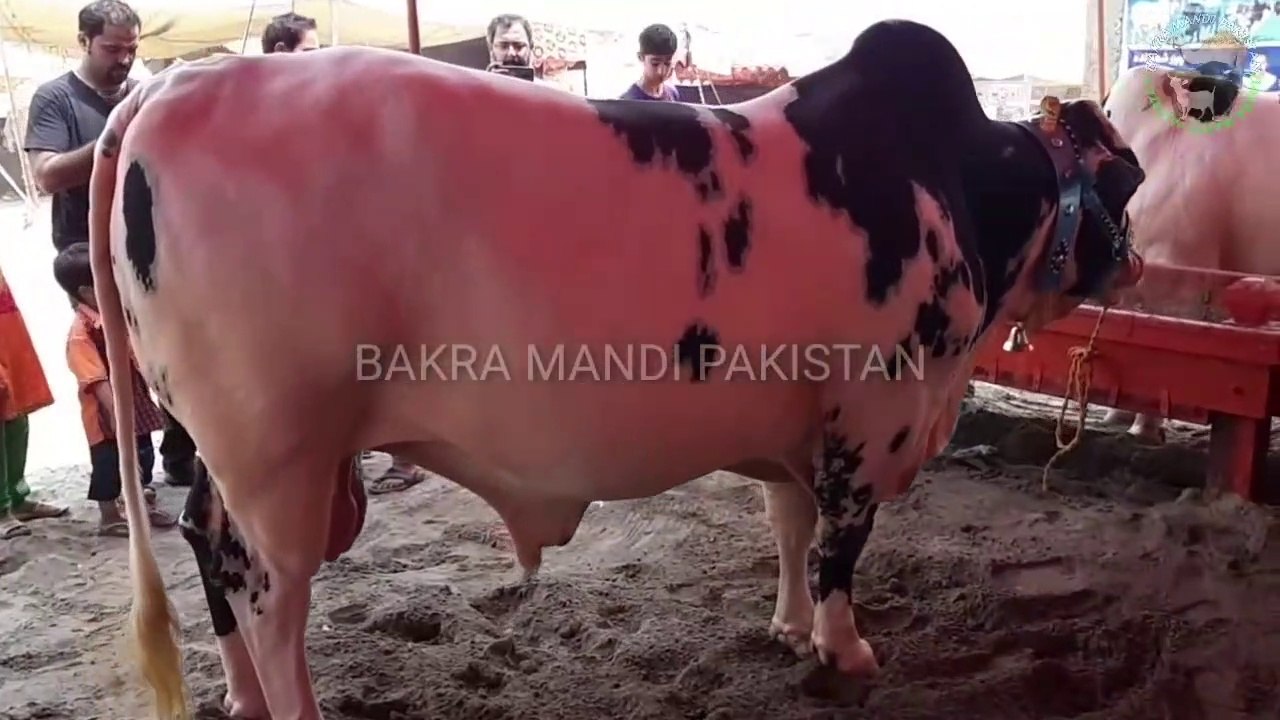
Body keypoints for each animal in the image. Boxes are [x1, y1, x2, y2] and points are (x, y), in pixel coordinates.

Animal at [90, 20, 1144, 719]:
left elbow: (790, 528)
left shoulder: (796, 426)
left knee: (209, 545)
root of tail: (173, 86)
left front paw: (788, 625)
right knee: (271, 592)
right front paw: (844, 648)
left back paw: (240, 695)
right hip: (280, 457)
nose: (1132, 259)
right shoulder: (872, 413)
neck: (951, 178)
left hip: (218, 449)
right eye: (1128, 179)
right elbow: (841, 545)